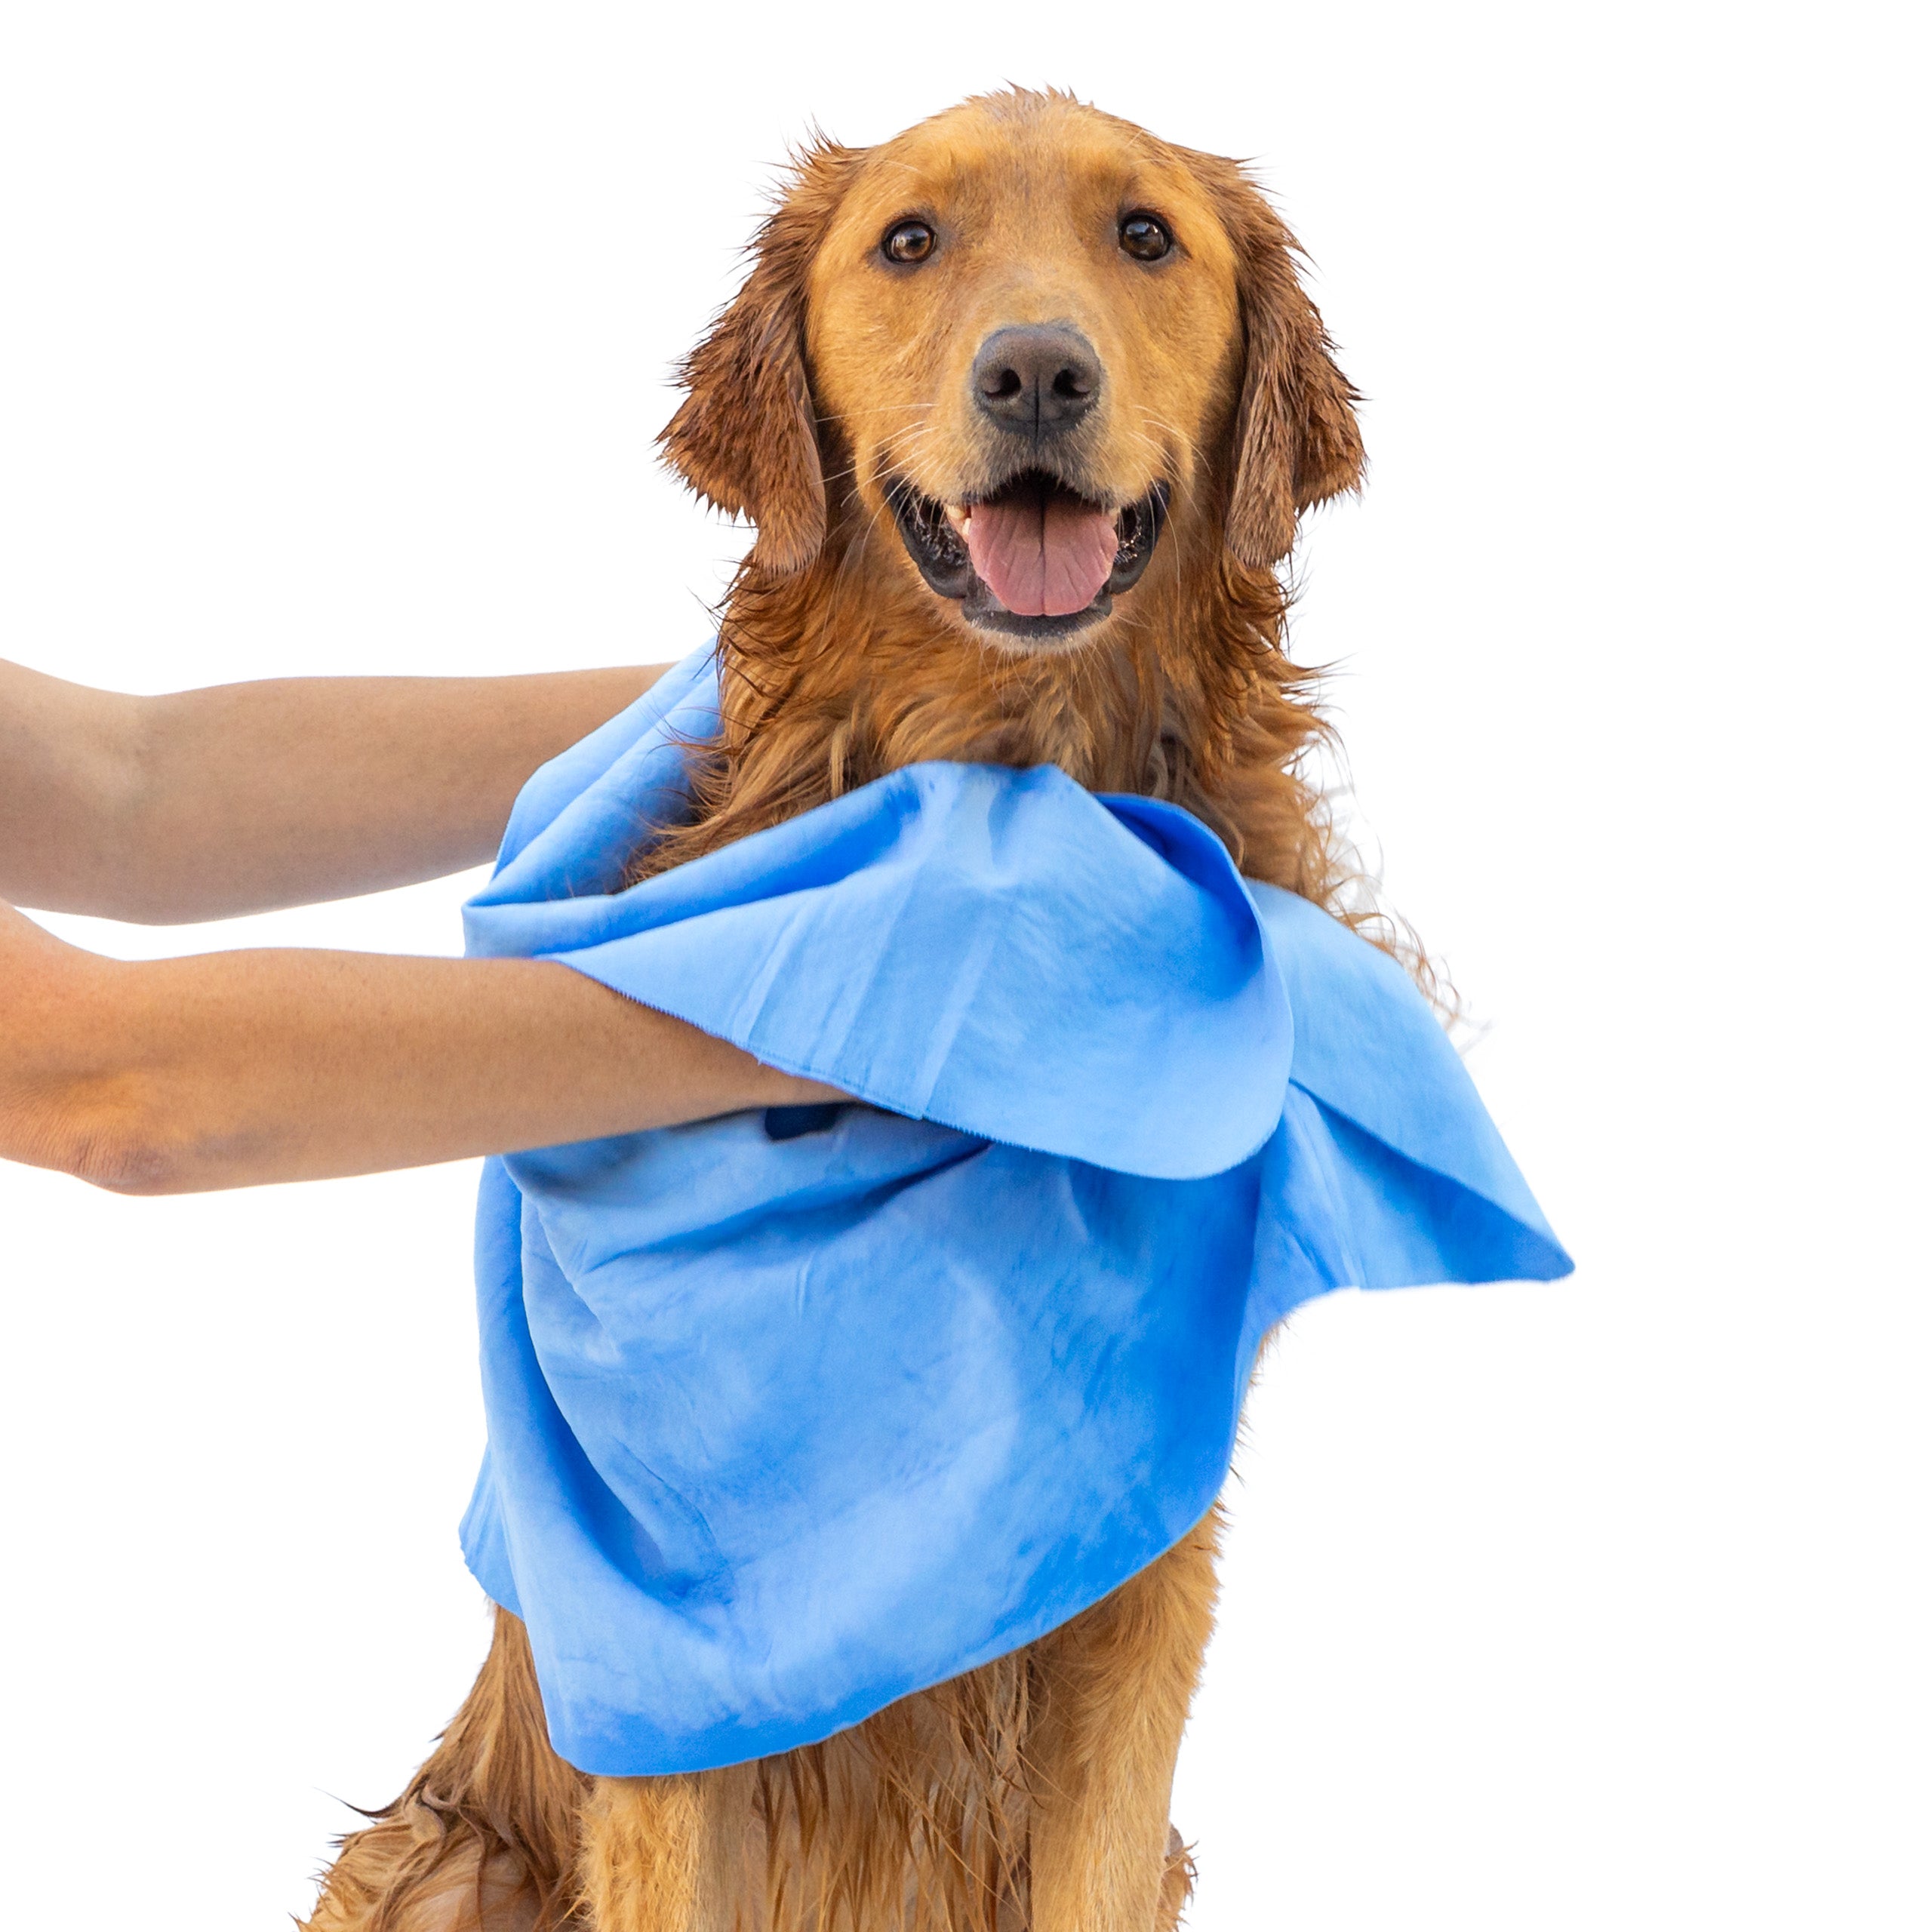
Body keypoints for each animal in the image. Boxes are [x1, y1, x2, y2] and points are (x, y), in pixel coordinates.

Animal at [309, 87, 1367, 1932]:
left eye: (1145, 237)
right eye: (908, 241)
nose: (1037, 374)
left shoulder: (1140, 1588)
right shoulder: (677, 1659)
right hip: (435, 1852)